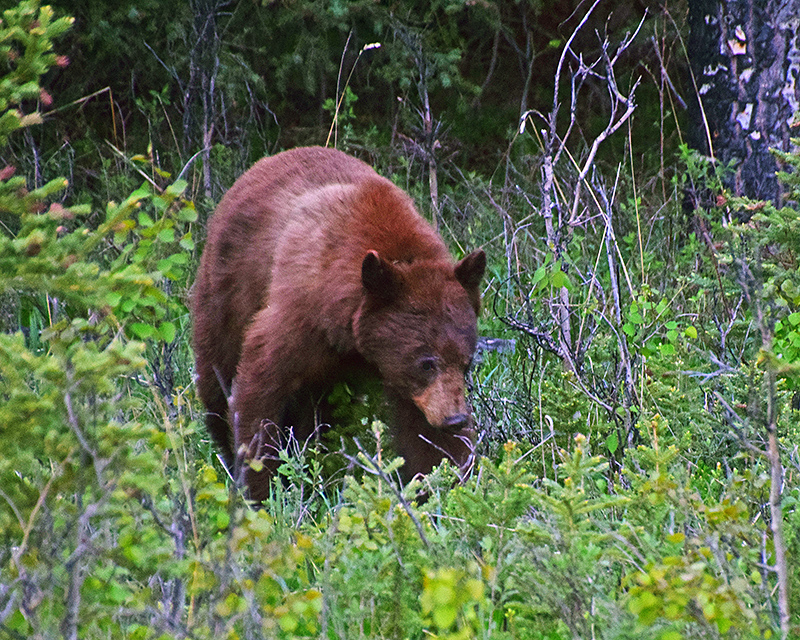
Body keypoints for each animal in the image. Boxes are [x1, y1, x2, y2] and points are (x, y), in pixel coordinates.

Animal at [191, 145, 484, 500]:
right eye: (427, 362)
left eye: (467, 363)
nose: (455, 418)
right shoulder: (300, 313)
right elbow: (260, 390)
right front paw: (261, 489)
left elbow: (425, 434)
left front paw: (445, 487)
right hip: (225, 291)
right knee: (216, 379)